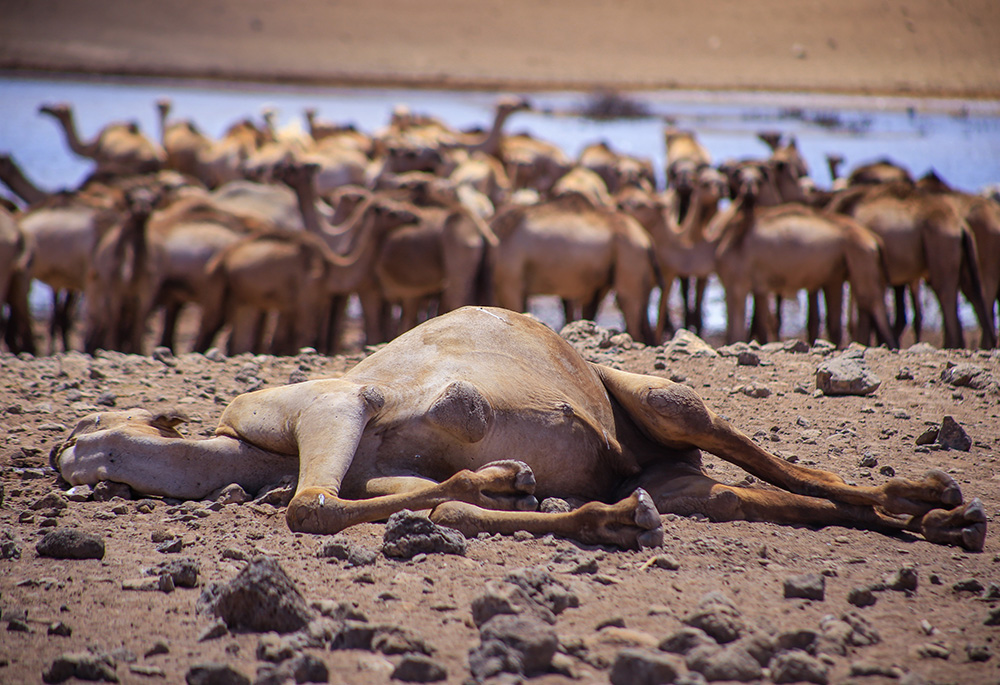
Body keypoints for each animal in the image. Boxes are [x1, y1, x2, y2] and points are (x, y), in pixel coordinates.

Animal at [52, 304, 984, 552]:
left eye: (96, 416)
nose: (60, 451)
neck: (254, 450)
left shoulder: (328, 404)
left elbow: (309, 504)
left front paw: (499, 463)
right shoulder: (383, 472)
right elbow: (440, 503)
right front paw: (553, 498)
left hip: (666, 401)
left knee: (789, 467)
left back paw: (934, 498)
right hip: (681, 475)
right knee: (752, 498)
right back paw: (931, 517)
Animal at [828, 182, 992, 348]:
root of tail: (961, 226)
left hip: (941, 242)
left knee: (945, 291)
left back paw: (953, 344)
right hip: (962, 252)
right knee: (971, 290)